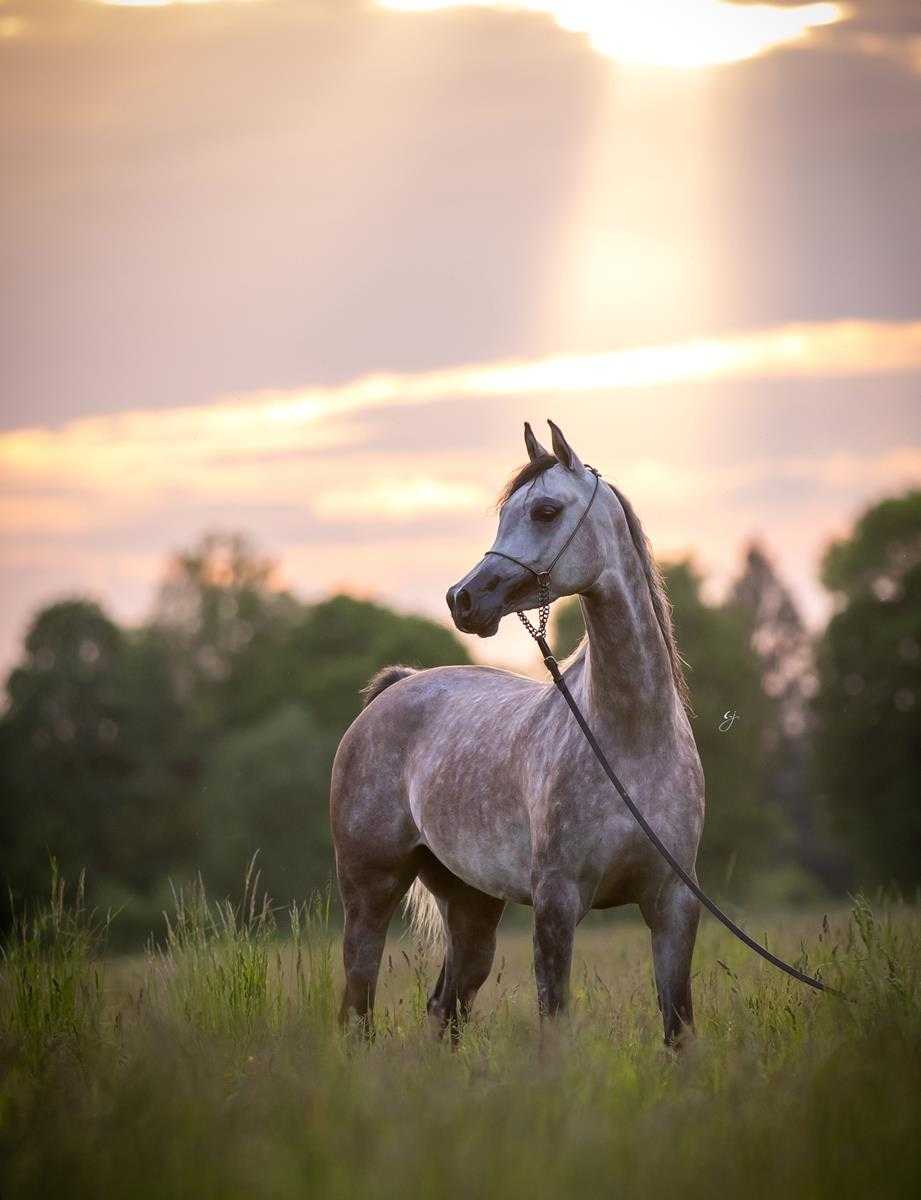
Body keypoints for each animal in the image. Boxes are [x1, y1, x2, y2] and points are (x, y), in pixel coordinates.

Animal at [329, 419, 704, 1044]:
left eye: (546, 511)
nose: (463, 599)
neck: (631, 744)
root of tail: (393, 690)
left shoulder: (675, 905)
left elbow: (677, 1025)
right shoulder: (556, 905)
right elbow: (555, 1021)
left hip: (471, 903)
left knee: (446, 1005)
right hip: (370, 890)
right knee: (358, 1006)